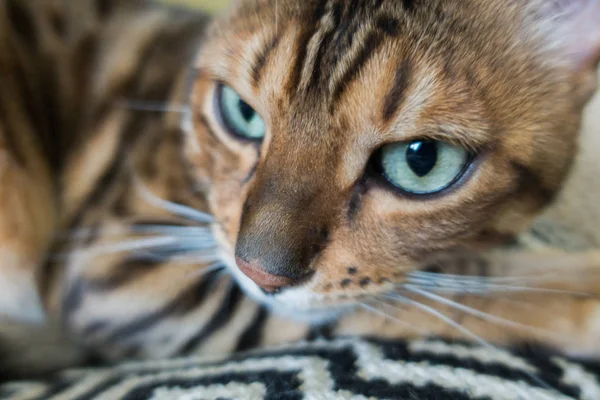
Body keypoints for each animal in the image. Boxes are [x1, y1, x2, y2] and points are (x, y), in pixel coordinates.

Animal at [1, 0, 600, 382]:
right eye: (241, 113)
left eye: (421, 160)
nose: (259, 272)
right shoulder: (119, 265)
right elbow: (450, 292)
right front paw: (576, 291)